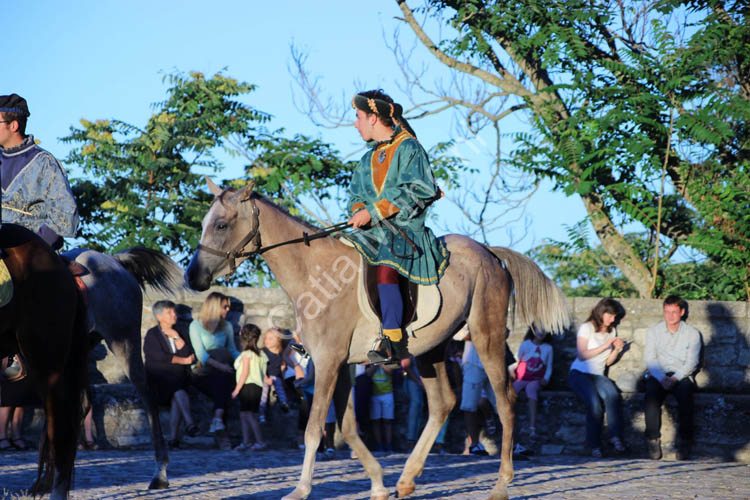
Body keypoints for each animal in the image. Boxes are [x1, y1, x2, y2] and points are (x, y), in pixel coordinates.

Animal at [185, 181, 568, 500]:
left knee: (506, 402)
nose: (193, 278)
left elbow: (314, 430)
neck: (314, 271)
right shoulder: (342, 366)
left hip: (486, 338)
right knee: (443, 403)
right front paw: (379, 484)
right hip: (431, 350)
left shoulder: (328, 362)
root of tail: (489, 252)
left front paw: (301, 489)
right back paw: (407, 479)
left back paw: (502, 483)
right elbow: (348, 428)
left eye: (221, 225)